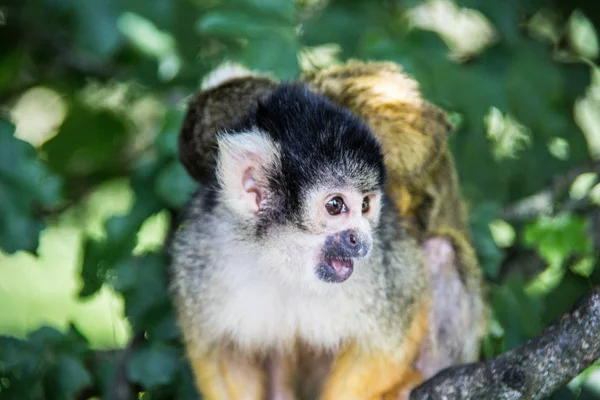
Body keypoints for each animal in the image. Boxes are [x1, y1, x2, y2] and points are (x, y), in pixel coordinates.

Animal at [169, 59, 488, 400]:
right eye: (335, 206)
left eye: (366, 205)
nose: (362, 240)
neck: (280, 259)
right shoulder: (200, 252)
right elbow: (218, 351)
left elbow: (389, 341)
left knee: (440, 250)